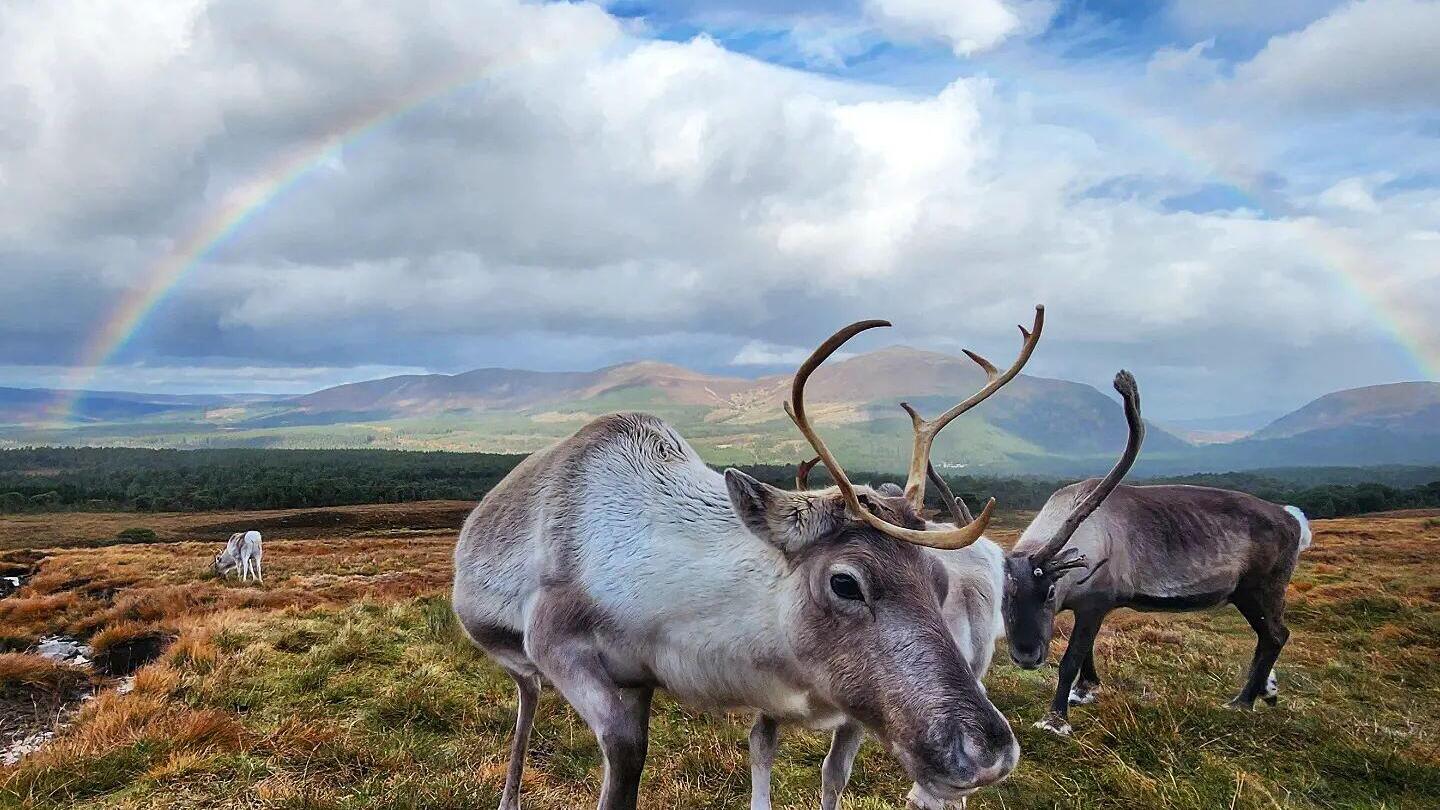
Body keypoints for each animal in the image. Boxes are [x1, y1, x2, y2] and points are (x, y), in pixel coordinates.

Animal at [452, 311, 1046, 810]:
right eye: (845, 583)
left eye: (938, 582)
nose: (988, 750)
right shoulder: (554, 642)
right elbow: (621, 756)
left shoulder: (639, 679)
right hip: (514, 651)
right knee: (528, 693)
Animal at [1001, 371, 1313, 735]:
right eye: (1000, 596)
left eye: (1049, 592)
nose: (1027, 656)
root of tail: (1293, 519)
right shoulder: (1087, 605)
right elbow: (1087, 652)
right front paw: (1086, 690)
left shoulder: (1097, 601)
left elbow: (1071, 659)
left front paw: (1055, 718)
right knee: (1268, 637)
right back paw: (1265, 690)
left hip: (1261, 588)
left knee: (1276, 635)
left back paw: (1243, 701)